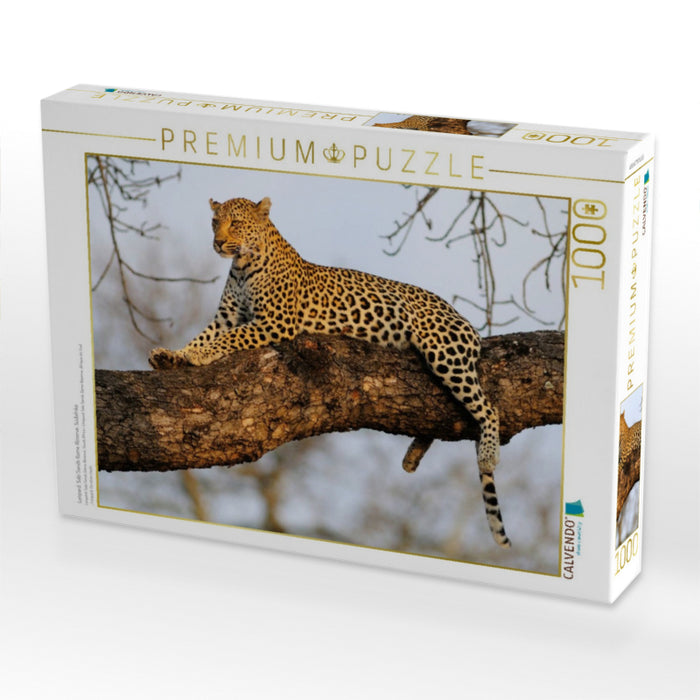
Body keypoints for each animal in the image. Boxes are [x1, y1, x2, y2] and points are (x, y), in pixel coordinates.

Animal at [149, 196, 510, 548]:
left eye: (235, 223)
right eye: (215, 222)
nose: (218, 242)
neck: (241, 266)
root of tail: (467, 323)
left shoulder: (273, 323)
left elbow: (226, 339)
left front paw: (198, 355)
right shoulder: (226, 317)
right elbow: (204, 335)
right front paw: (172, 356)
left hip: (444, 352)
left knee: (488, 408)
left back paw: (488, 454)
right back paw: (412, 457)